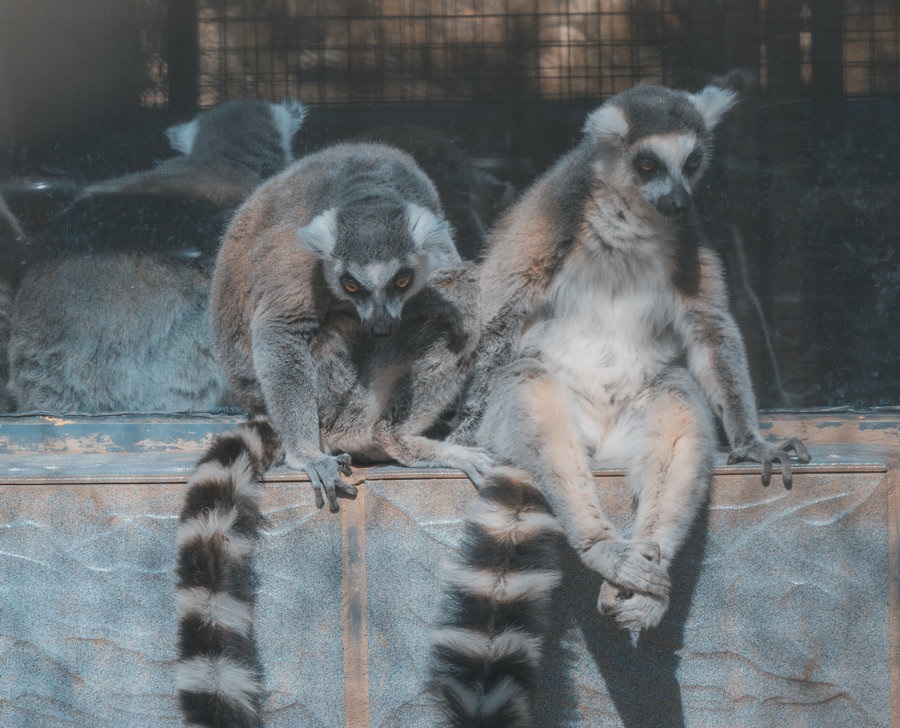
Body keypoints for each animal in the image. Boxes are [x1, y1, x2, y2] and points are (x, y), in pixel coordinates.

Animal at [175, 141, 493, 727]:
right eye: (350, 283)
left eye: (399, 280)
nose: (383, 324)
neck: (363, 187)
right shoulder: (299, 262)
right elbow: (280, 331)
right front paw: (307, 456)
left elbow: (440, 266)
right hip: (336, 383)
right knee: (452, 301)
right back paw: (389, 440)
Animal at [429, 84, 811, 726]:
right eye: (649, 164)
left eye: (693, 163)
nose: (677, 199)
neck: (628, 216)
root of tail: (601, 444)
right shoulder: (549, 217)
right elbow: (501, 319)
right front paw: (457, 437)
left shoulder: (688, 237)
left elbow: (709, 329)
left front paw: (752, 441)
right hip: (539, 409)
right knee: (530, 389)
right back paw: (602, 547)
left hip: (640, 408)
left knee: (679, 401)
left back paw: (646, 569)